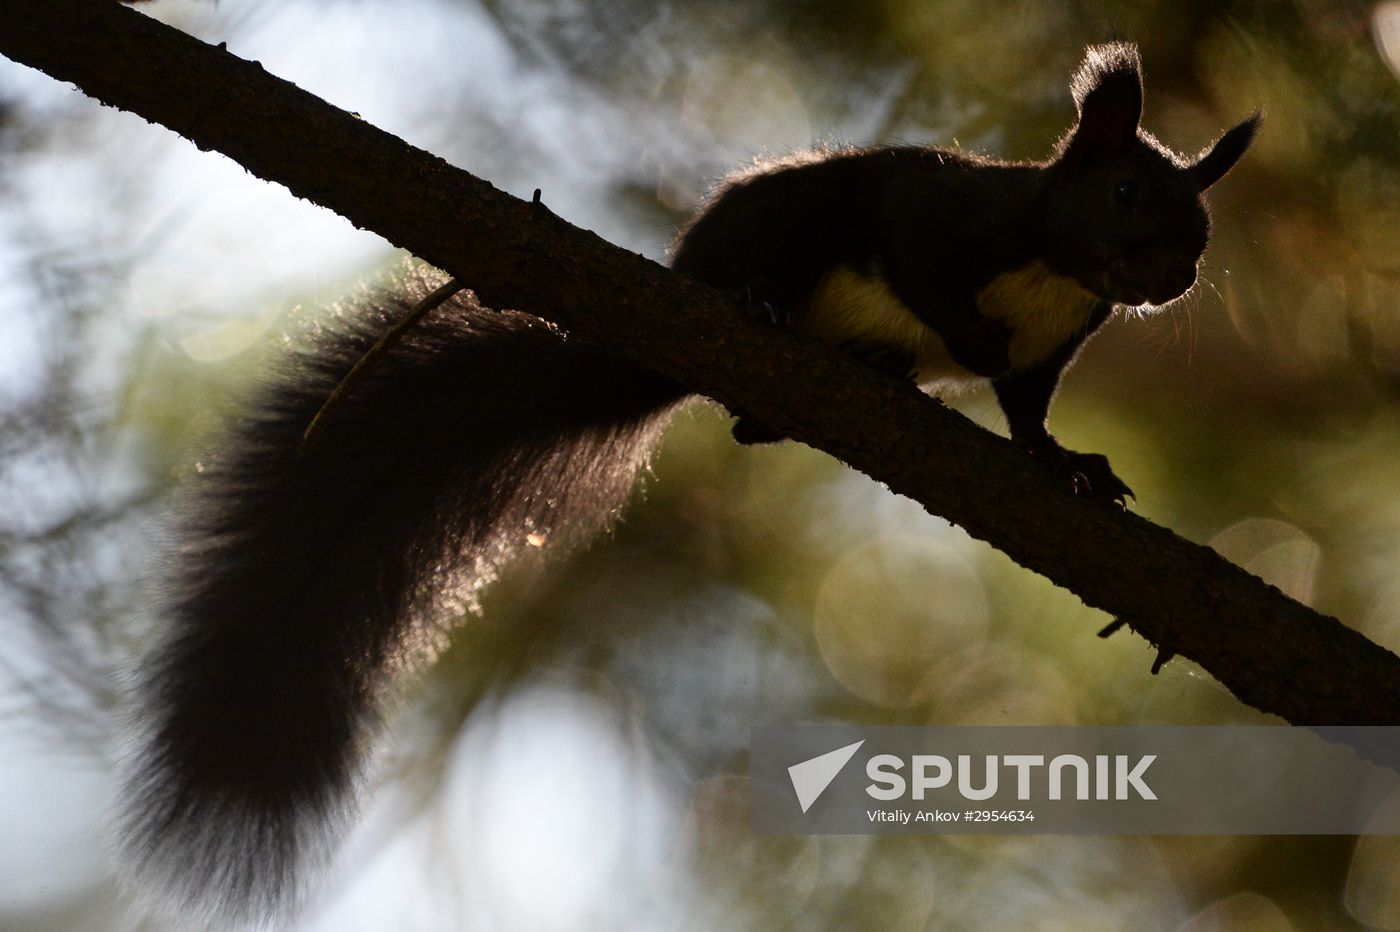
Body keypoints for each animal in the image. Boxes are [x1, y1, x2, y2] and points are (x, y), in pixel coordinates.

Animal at [121, 42, 1256, 923]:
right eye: (1124, 191)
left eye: (1202, 227)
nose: (1175, 276)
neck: (1057, 273)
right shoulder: (937, 219)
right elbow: (926, 272)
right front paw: (968, 340)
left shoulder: (1053, 351)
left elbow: (1028, 416)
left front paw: (1067, 465)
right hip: (785, 226)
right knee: (778, 280)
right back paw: (763, 306)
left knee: (757, 425)